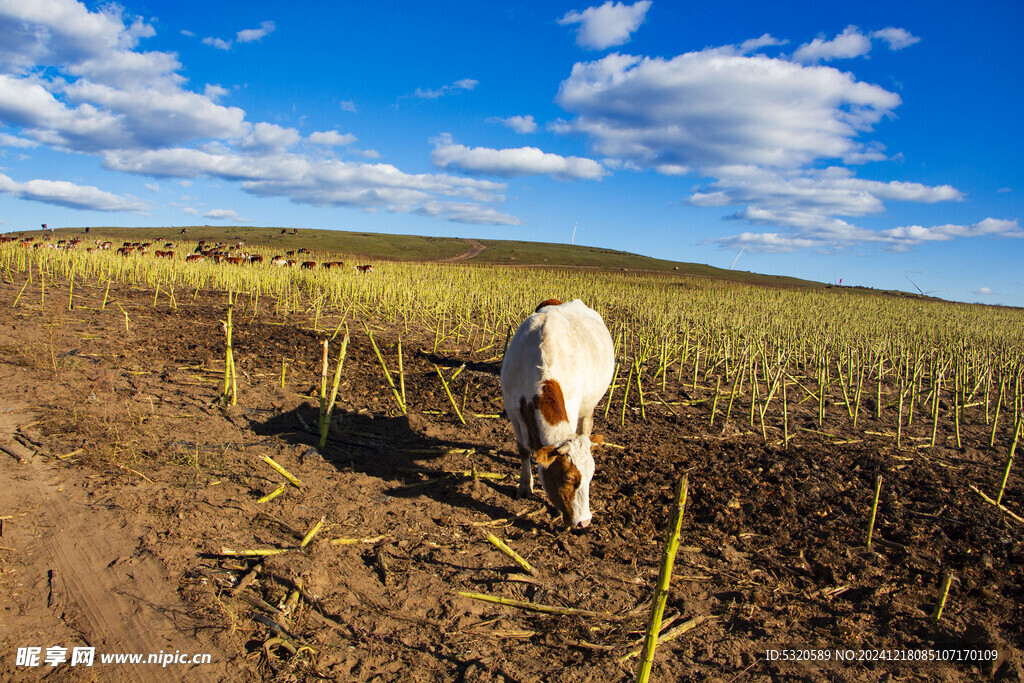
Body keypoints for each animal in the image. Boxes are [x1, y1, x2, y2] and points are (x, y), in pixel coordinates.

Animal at [499, 296, 610, 528]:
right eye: (569, 478)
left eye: (592, 475)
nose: (584, 522)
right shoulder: (512, 408)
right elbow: (523, 449)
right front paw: (525, 486)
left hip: (589, 405)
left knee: (586, 426)